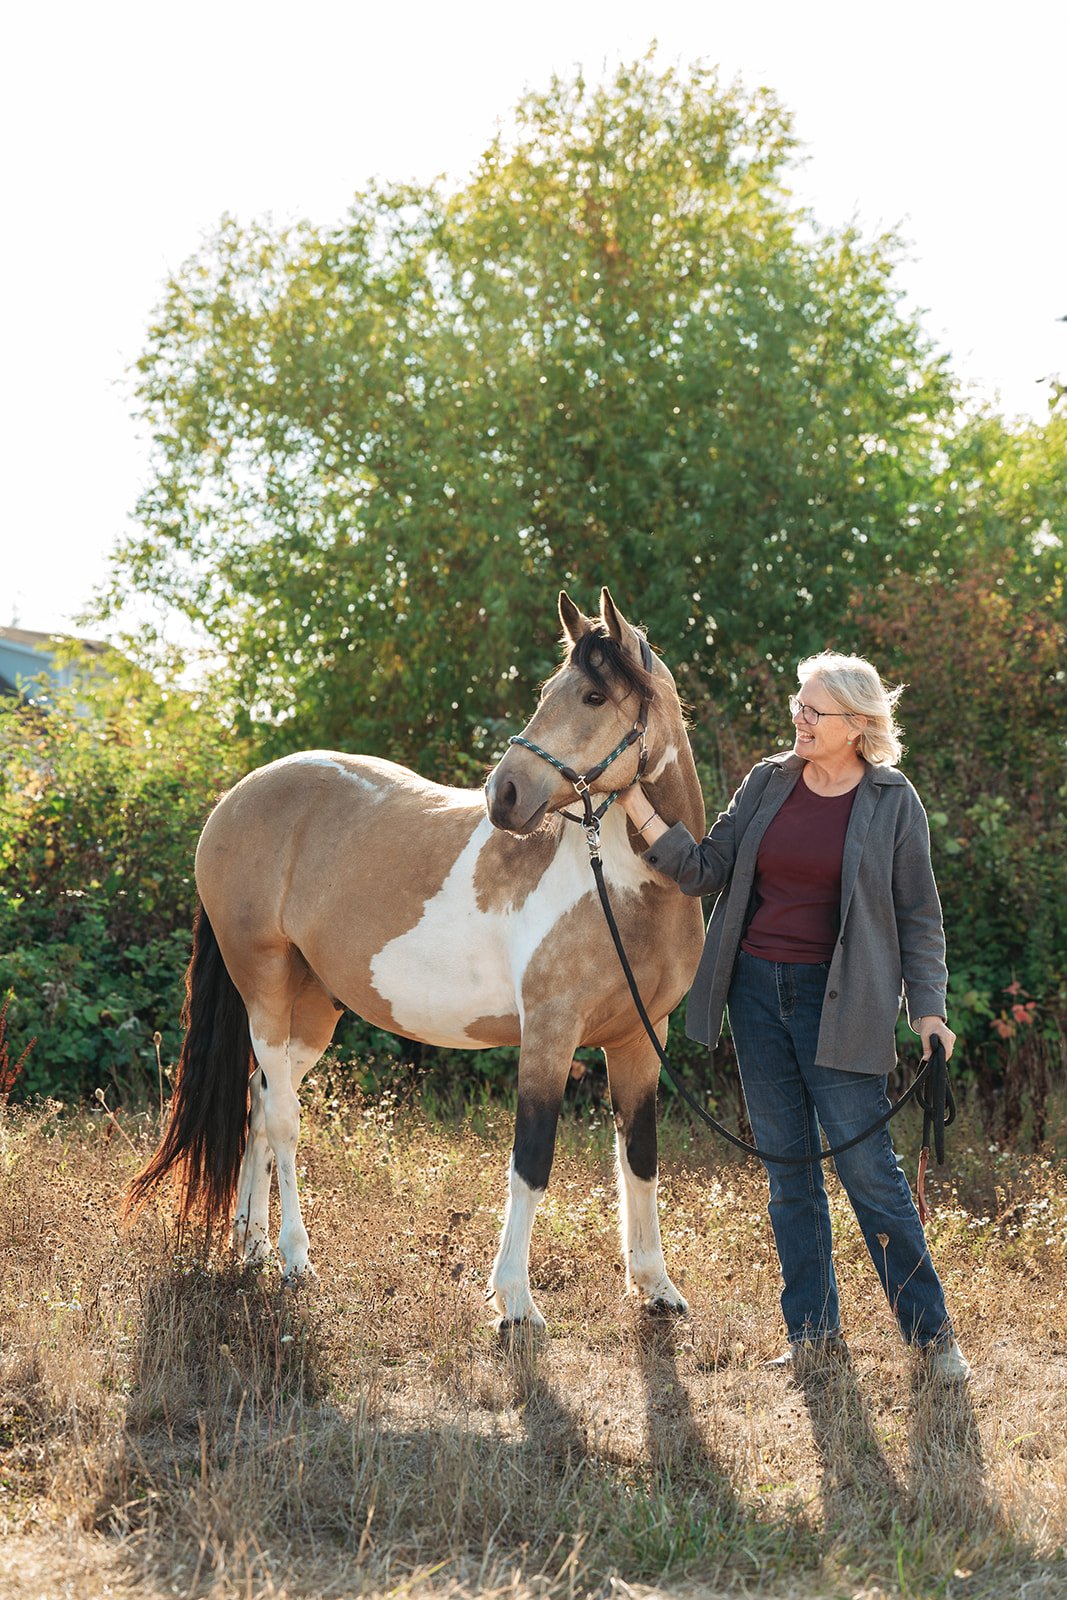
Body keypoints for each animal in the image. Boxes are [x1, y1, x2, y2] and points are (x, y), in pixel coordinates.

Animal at [127, 588, 706, 1331]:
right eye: (551, 691)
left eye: (594, 695)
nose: (503, 795)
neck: (628, 886)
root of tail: (236, 799)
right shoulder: (549, 1036)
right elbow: (532, 1159)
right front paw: (514, 1301)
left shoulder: (639, 1038)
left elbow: (639, 1157)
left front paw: (655, 1287)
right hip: (264, 983)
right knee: (283, 1117)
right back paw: (293, 1259)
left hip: (310, 1010)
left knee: (259, 1100)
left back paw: (251, 1247)